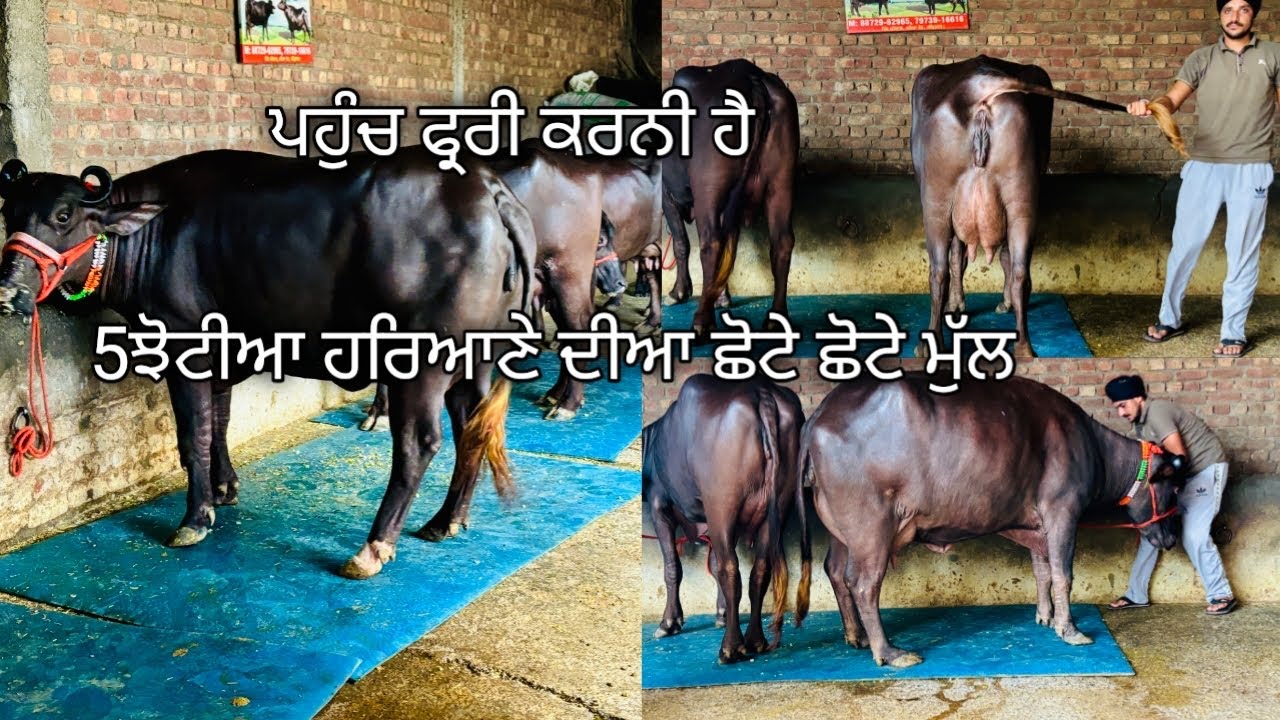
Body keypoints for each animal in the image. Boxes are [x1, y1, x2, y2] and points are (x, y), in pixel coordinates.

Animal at [0, 147, 536, 580]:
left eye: (64, 214)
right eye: (9, 213)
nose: (7, 291)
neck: (153, 236)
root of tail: (489, 191)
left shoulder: (184, 346)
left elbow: (192, 434)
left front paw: (195, 518)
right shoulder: (222, 353)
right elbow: (219, 421)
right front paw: (223, 489)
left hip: (421, 364)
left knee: (418, 444)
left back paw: (372, 547)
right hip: (476, 362)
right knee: (473, 430)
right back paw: (446, 521)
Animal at [643, 373, 808, 664]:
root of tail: (761, 391)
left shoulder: (659, 505)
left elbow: (673, 567)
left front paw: (669, 622)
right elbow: (714, 563)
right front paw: (721, 614)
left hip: (722, 505)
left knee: (730, 568)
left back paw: (731, 647)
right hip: (777, 507)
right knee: (759, 569)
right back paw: (754, 640)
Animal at [662, 59, 799, 340]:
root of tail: (752, 76)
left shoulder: (666, 194)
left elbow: (682, 243)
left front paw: (679, 292)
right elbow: (730, 247)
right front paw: (721, 297)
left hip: (708, 190)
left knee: (711, 243)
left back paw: (702, 321)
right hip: (781, 183)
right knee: (781, 242)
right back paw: (776, 317)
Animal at [795, 374, 1188, 668]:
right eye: (1173, 488)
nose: (1171, 539)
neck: (1094, 448)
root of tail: (821, 414)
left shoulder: (1038, 524)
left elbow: (1042, 571)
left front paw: (1045, 616)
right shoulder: (1062, 510)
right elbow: (1063, 574)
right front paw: (1070, 629)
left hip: (841, 531)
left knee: (835, 571)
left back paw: (856, 636)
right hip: (871, 527)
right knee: (863, 584)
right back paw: (889, 652)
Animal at [910, 55, 1126, 358]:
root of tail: (981, 82)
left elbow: (957, 258)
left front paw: (956, 306)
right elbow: (1000, 257)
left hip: (936, 201)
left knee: (938, 269)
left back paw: (928, 345)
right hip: (1022, 196)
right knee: (1019, 268)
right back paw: (1023, 345)